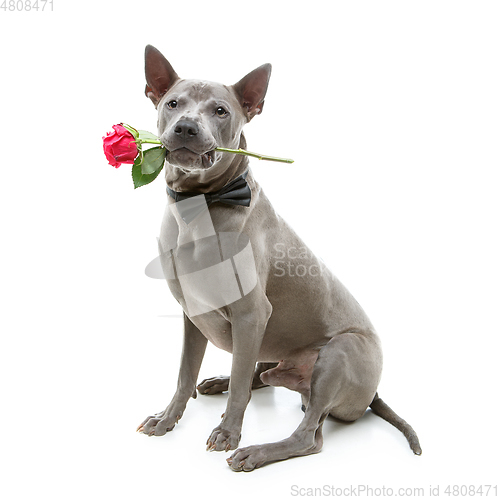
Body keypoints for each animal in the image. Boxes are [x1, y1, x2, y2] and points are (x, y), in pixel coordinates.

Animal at [135, 45, 420, 470]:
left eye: (220, 110)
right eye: (173, 103)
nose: (186, 127)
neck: (200, 204)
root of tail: (371, 395)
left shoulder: (251, 312)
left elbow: (240, 385)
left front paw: (228, 434)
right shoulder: (193, 313)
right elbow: (185, 375)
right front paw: (167, 419)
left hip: (339, 352)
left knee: (307, 435)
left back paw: (254, 451)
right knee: (257, 376)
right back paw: (219, 382)